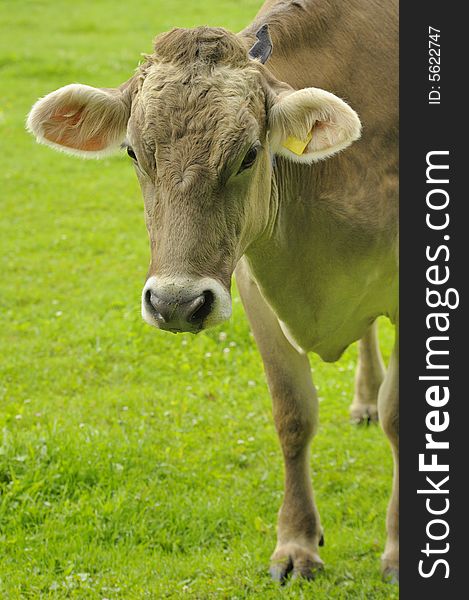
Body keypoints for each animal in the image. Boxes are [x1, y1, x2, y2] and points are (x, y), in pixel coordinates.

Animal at [26, 0, 398, 584]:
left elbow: (399, 417)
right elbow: (292, 415)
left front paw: (399, 553)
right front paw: (296, 543)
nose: (176, 303)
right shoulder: (253, 284)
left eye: (249, 154)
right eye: (134, 153)